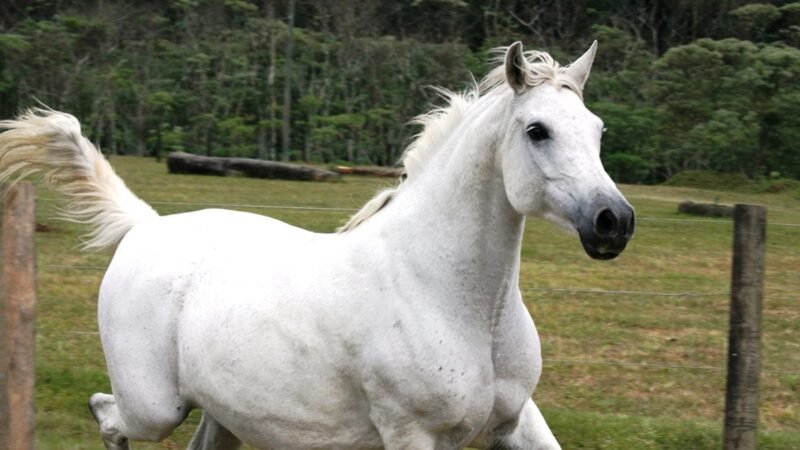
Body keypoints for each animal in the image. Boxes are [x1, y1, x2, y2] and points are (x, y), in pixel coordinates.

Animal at [0, 41, 633, 449]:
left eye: (598, 130)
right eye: (537, 131)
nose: (614, 222)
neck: (458, 302)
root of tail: (146, 225)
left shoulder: (515, 422)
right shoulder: (413, 435)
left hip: (226, 413)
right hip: (154, 406)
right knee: (106, 416)